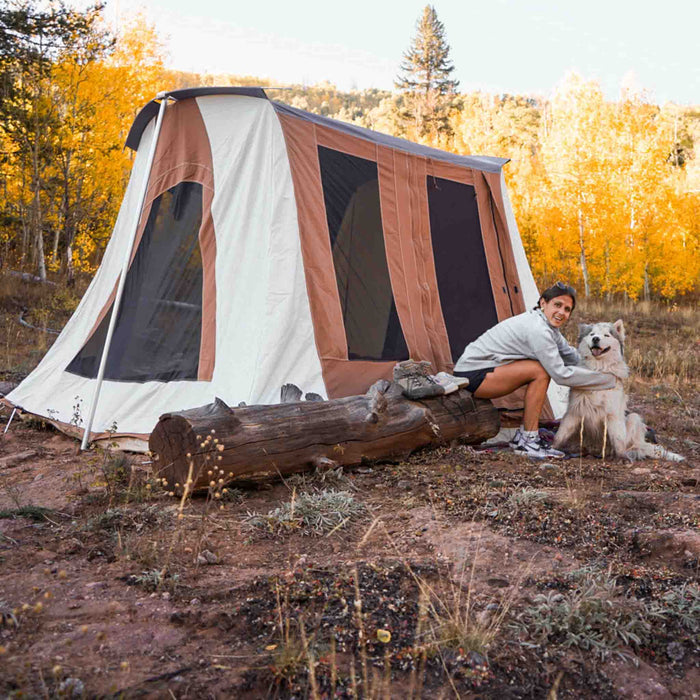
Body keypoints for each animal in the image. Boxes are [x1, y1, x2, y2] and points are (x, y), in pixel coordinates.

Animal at [552, 320, 684, 462]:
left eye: (606, 335)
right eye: (592, 334)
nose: (595, 339)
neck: (599, 369)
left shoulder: (613, 414)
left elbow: (618, 439)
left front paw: (622, 457)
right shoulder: (574, 410)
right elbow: (561, 434)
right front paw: (552, 447)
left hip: (633, 418)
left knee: (632, 443)